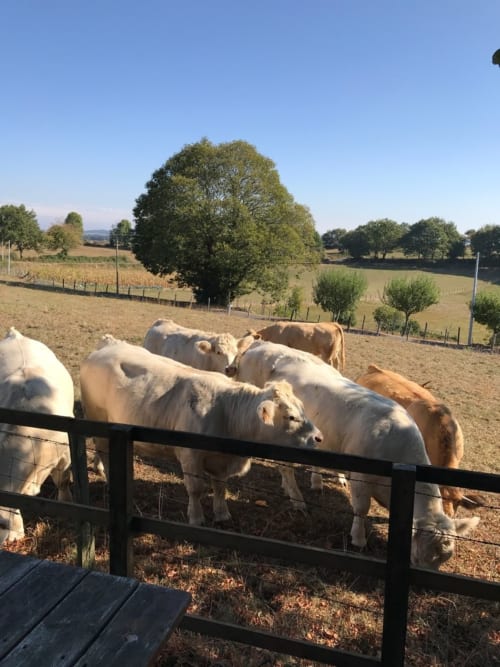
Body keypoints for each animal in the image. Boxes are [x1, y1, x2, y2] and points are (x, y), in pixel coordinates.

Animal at [80, 335, 323, 526]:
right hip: (97, 417)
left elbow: (220, 487)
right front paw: (196, 517)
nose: (318, 437)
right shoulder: (190, 455)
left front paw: (222, 513)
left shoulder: (221, 460)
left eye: (303, 408)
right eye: (291, 416)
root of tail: (108, 344)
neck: (226, 411)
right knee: (102, 450)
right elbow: (196, 488)